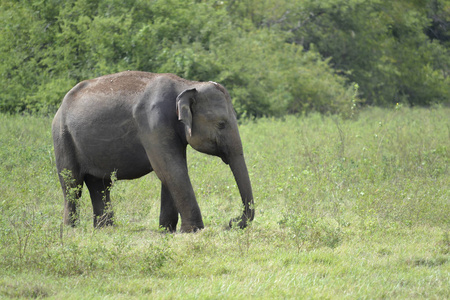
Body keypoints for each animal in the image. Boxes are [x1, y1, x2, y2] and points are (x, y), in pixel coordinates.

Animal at [51, 70, 255, 232]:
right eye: (221, 124)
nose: (231, 222)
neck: (187, 84)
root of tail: (61, 105)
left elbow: (171, 172)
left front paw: (167, 230)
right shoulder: (152, 123)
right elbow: (170, 169)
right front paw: (193, 231)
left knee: (99, 185)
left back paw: (105, 229)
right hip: (62, 136)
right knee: (72, 185)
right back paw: (71, 230)